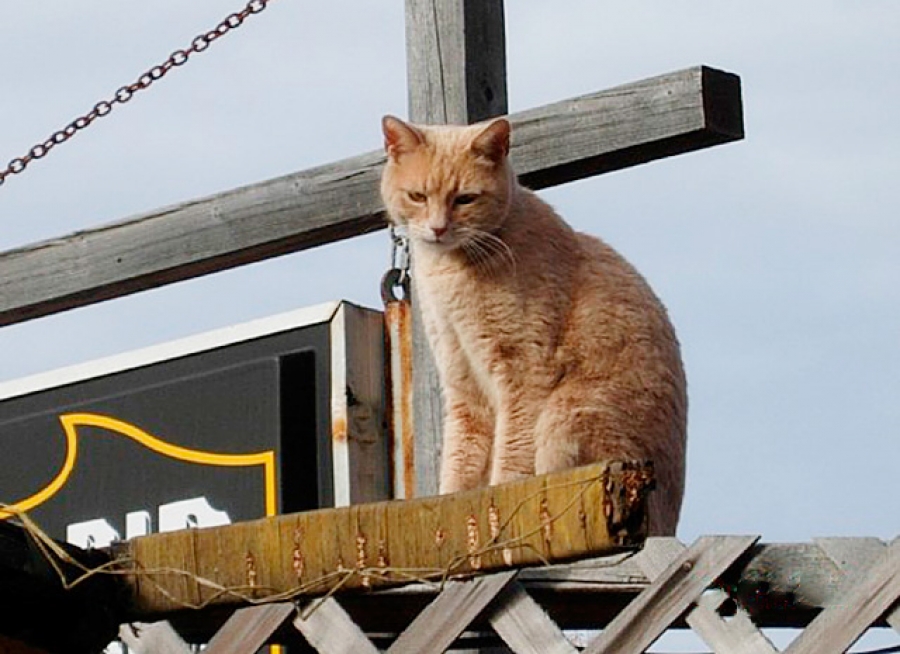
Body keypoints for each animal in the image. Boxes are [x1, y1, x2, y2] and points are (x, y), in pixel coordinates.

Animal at [382, 115, 688, 536]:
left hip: (565, 416)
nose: (438, 228)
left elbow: (511, 455)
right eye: (417, 196)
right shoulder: (462, 381)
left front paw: (499, 495)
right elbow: (460, 460)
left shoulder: (524, 371)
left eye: (465, 199)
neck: (450, 272)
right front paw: (450, 502)